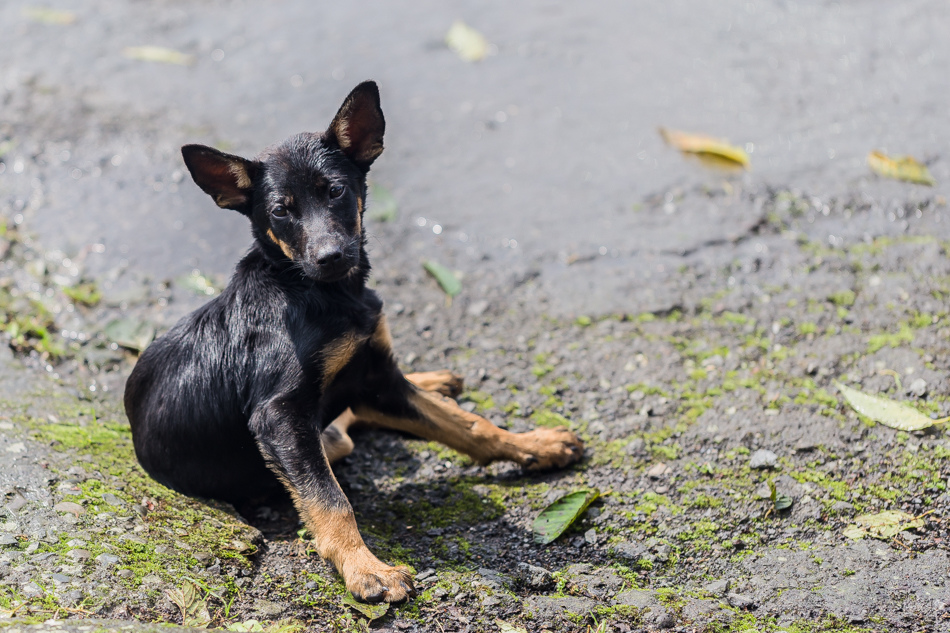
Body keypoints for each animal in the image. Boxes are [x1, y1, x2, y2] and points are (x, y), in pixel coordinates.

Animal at [124, 82, 588, 604]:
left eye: (336, 190)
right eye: (280, 210)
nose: (330, 256)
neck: (319, 292)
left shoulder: (376, 372)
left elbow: (470, 426)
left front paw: (535, 444)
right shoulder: (279, 417)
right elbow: (330, 500)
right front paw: (366, 569)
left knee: (364, 412)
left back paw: (437, 380)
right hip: (317, 438)